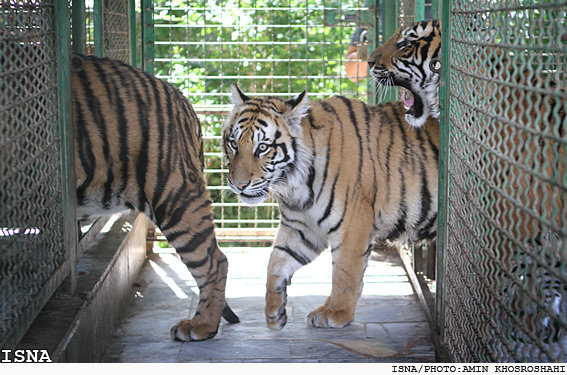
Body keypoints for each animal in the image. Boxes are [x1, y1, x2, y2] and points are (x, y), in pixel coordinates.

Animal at [222, 84, 440, 328]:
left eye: (262, 147)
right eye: (233, 144)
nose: (238, 185)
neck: (295, 185)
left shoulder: (352, 225)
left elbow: (345, 272)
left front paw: (336, 313)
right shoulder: (301, 227)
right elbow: (276, 263)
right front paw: (274, 312)